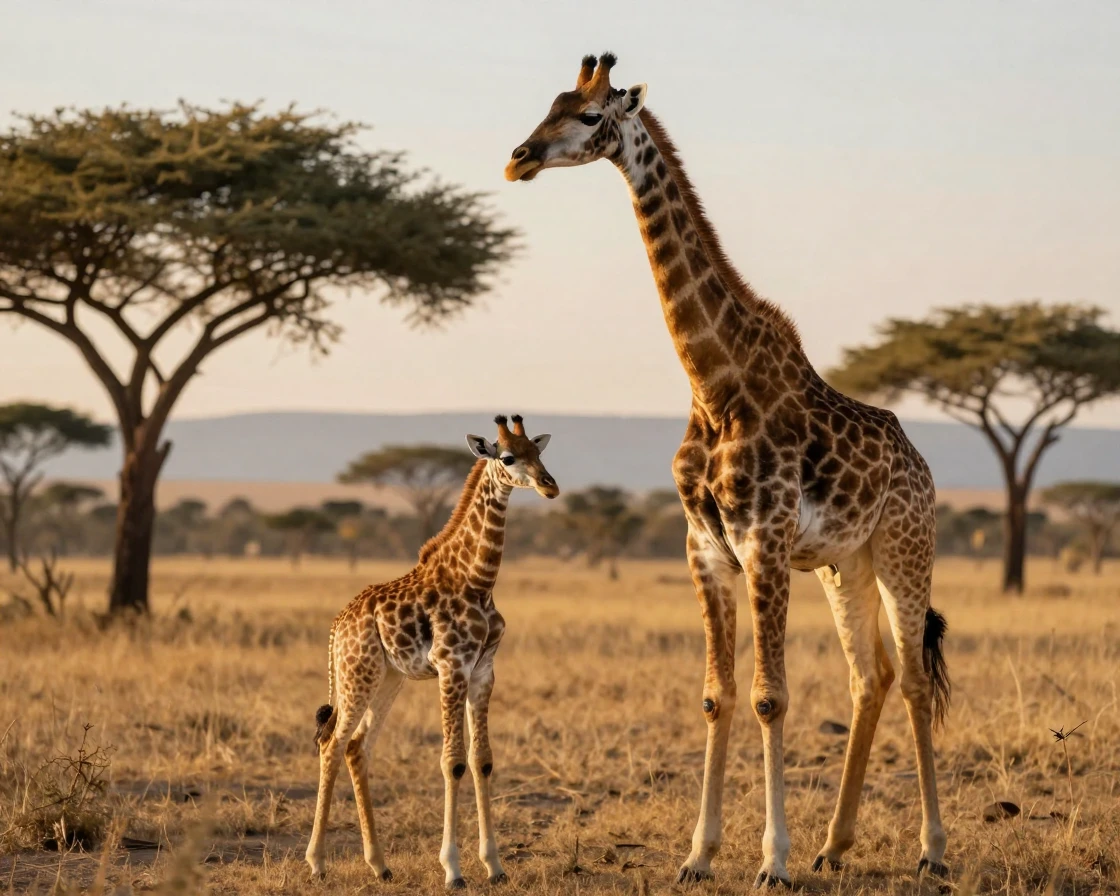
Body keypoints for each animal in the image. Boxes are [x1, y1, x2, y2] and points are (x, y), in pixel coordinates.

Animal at [304, 415, 559, 888]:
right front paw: (453, 870)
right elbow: (452, 762)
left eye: (539, 452)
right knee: (331, 743)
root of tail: (337, 625)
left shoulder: (484, 670)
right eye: (508, 457)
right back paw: (316, 863)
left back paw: (380, 865)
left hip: (389, 678)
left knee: (357, 748)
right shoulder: (451, 667)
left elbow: (482, 760)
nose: (550, 486)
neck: (477, 581)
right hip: (357, 674)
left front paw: (495, 867)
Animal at [505, 54, 951, 888]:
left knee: (909, 676)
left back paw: (932, 850)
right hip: (844, 563)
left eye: (589, 117)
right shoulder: (705, 548)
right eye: (548, 104)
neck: (713, 383)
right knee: (869, 676)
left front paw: (771, 862)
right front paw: (698, 855)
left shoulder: (764, 543)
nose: (518, 159)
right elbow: (717, 695)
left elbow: (771, 697)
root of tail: (923, 466)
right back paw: (834, 844)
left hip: (906, 551)